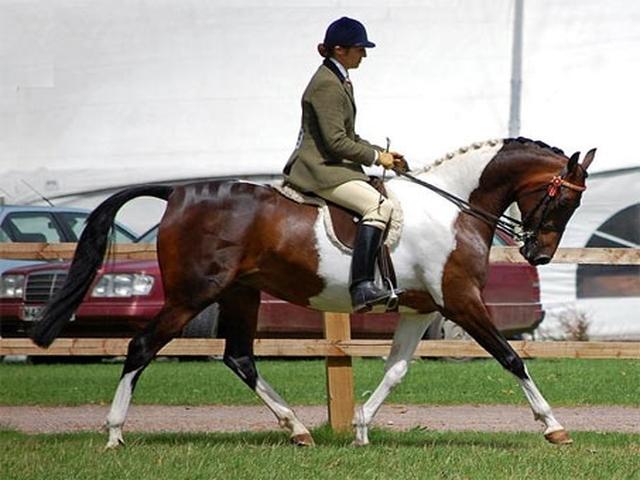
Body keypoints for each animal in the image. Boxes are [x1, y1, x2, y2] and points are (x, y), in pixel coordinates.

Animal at [31, 137, 595, 448]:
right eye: (563, 202)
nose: (539, 255)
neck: (453, 206)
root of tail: (176, 193)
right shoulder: (459, 300)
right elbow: (511, 357)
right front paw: (553, 426)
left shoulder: (421, 308)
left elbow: (397, 369)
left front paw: (362, 427)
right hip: (192, 296)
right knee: (141, 347)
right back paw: (114, 433)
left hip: (241, 293)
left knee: (239, 357)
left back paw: (297, 429)